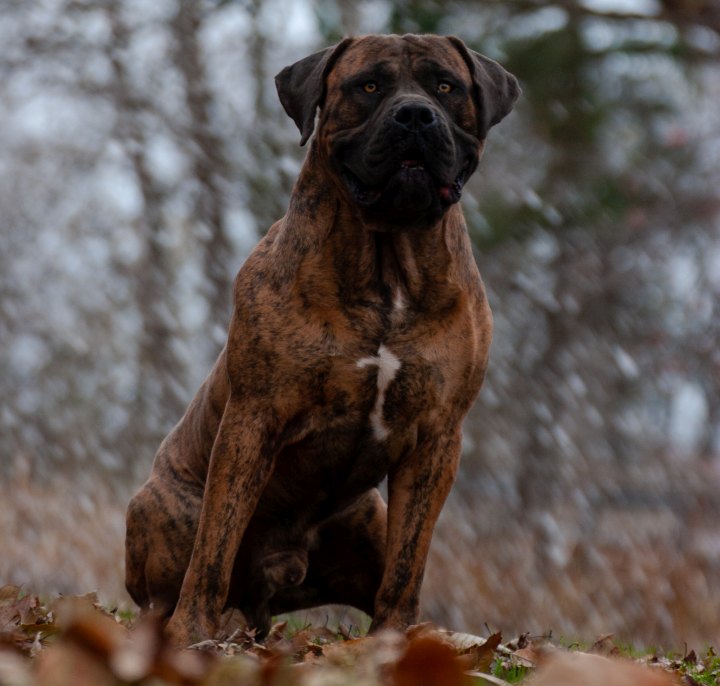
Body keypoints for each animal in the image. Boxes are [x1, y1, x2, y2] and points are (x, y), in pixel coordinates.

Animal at [124, 32, 516, 648]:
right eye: (369, 85)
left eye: (445, 86)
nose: (414, 114)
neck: (387, 263)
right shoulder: (252, 418)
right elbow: (214, 547)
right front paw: (192, 635)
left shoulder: (437, 438)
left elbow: (409, 564)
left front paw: (394, 643)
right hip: (159, 511)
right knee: (175, 581)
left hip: (366, 519)